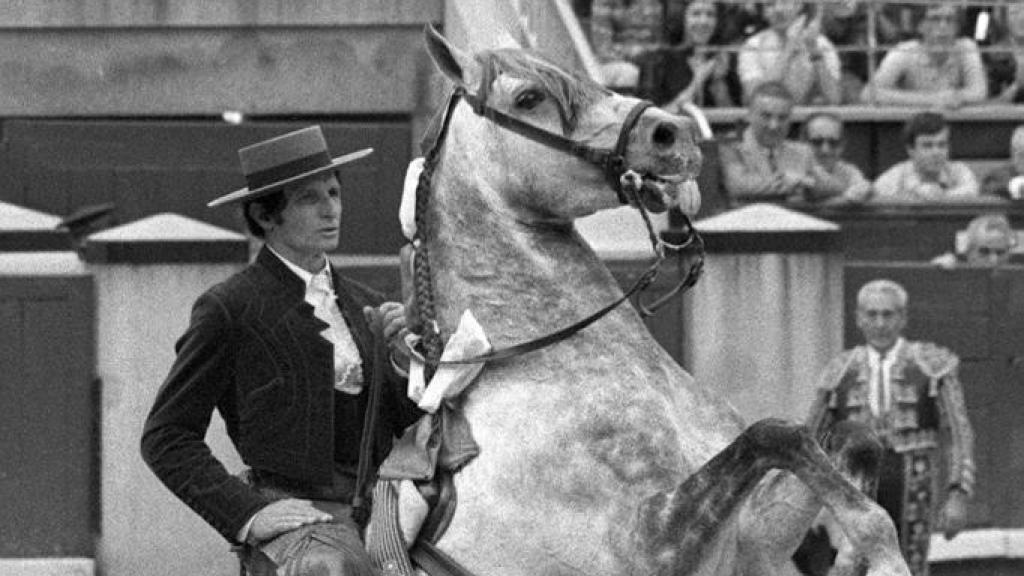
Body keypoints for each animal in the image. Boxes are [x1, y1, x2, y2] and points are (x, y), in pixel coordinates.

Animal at [389, 25, 905, 573]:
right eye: (528, 98)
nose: (673, 132)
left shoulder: (752, 537)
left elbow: (849, 438)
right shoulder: (648, 546)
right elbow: (775, 433)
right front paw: (886, 556)